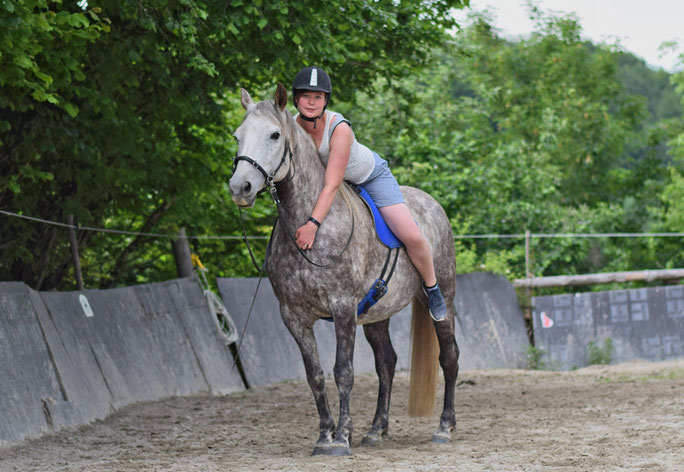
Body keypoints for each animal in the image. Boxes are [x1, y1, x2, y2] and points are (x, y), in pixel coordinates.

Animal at [230, 83, 460, 456]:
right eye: (237, 135)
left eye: (275, 135)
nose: (240, 188)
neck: (310, 225)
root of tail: (432, 203)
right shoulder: (294, 316)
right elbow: (315, 374)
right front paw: (325, 435)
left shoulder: (342, 310)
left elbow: (343, 372)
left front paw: (341, 438)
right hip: (376, 315)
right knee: (387, 363)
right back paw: (376, 429)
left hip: (442, 299)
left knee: (449, 356)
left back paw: (444, 427)